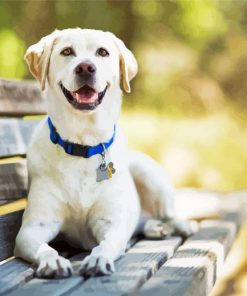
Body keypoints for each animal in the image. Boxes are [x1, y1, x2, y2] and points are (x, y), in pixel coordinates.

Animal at [14, 28, 193, 278]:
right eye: (66, 51)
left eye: (102, 52)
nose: (85, 67)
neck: (83, 145)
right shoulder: (32, 229)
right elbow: (44, 247)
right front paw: (53, 261)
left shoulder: (111, 223)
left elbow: (106, 244)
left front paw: (98, 259)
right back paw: (155, 227)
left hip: (148, 173)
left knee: (167, 212)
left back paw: (180, 225)